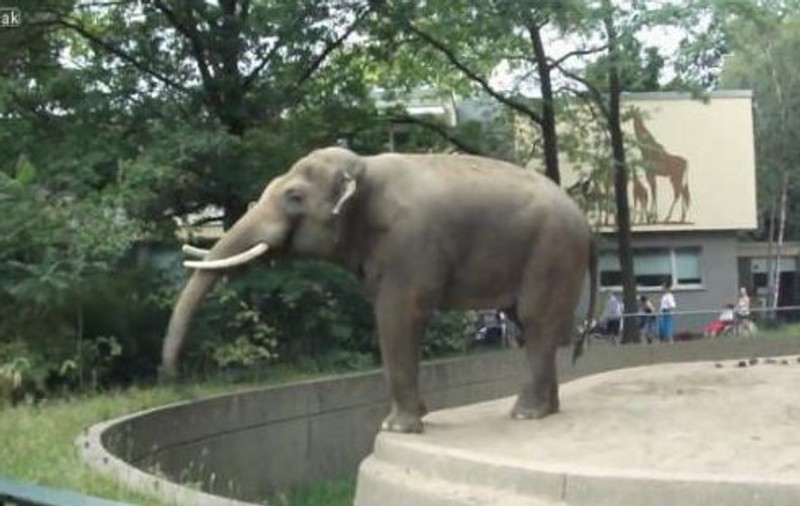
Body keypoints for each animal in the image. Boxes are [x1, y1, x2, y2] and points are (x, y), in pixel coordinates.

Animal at [162, 146, 596, 433]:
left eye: (294, 197)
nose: (171, 376)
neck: (363, 167)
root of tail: (586, 222)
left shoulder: (410, 243)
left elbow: (397, 315)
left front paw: (396, 428)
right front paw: (417, 415)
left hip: (553, 251)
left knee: (537, 323)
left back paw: (525, 414)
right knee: (529, 326)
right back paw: (545, 410)